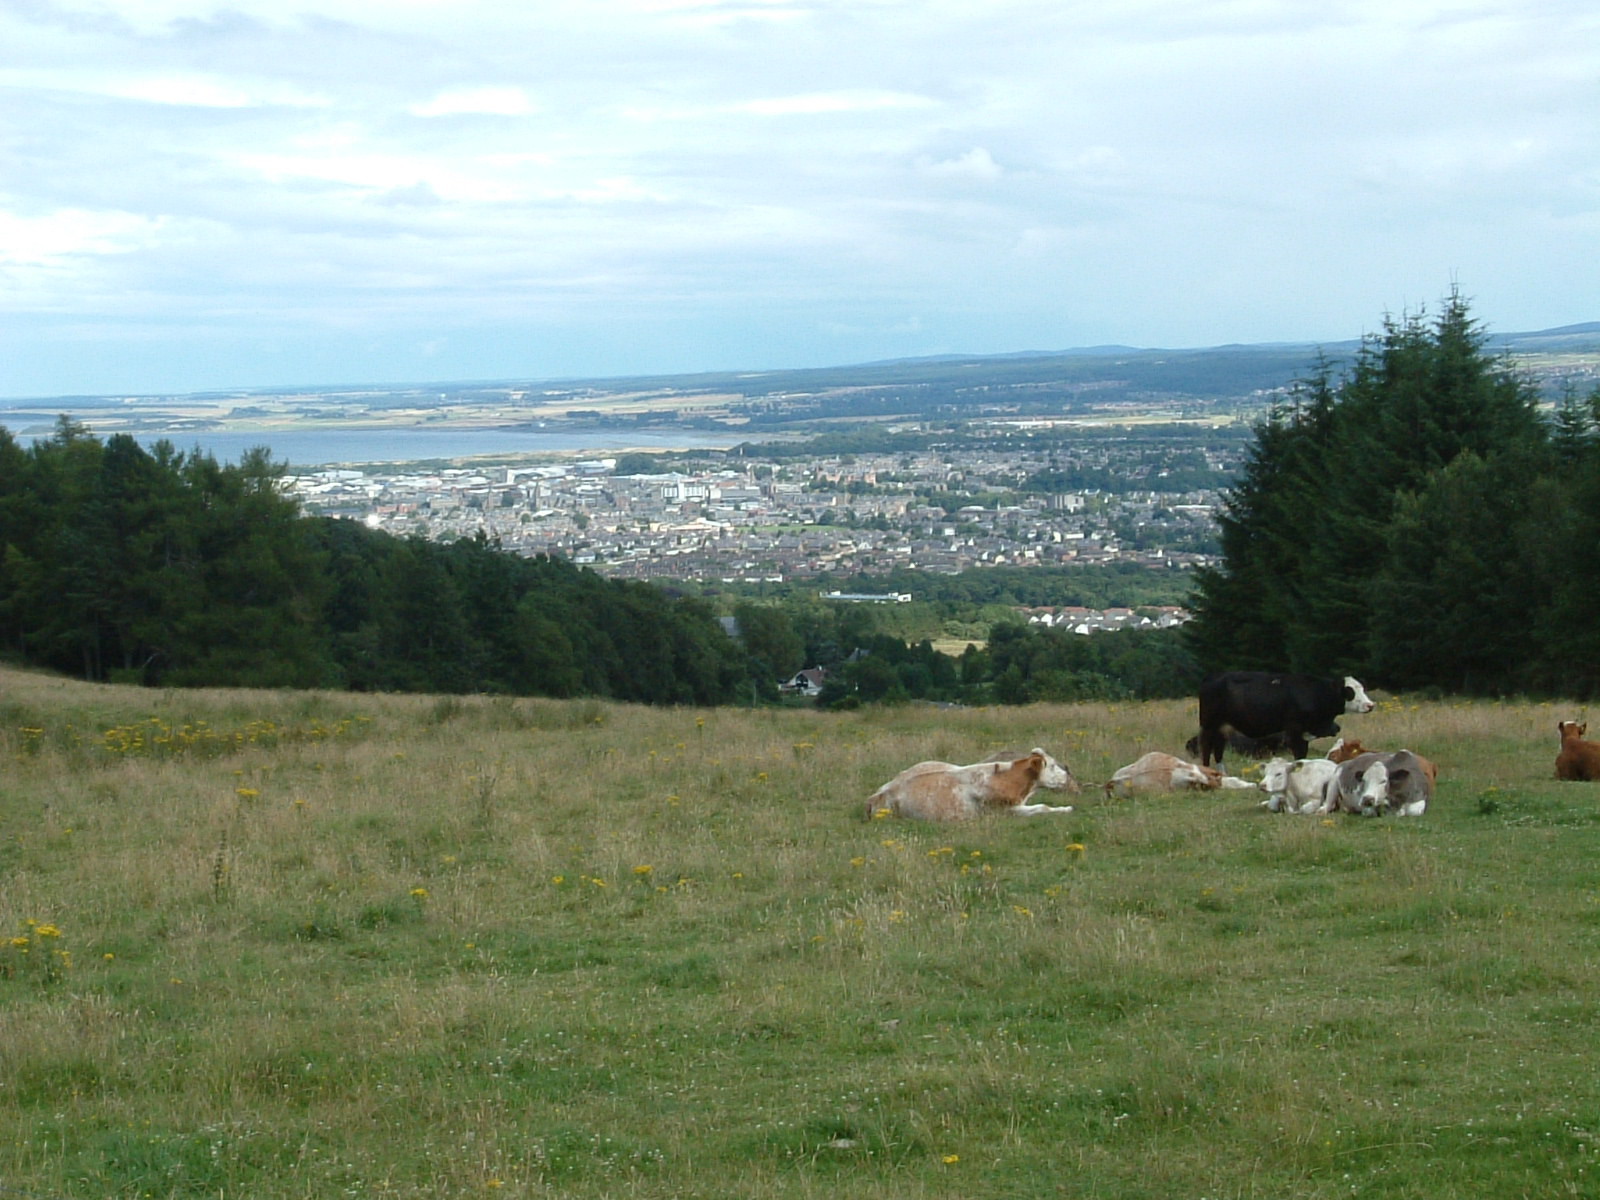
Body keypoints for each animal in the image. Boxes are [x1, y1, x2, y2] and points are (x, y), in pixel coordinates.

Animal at [1203, 672, 1376, 764]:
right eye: (1349, 692)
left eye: (1363, 689)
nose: (1370, 705)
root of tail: (1213, 681)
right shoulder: (1294, 731)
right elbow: (1299, 753)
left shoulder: (1305, 733)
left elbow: (1303, 753)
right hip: (1209, 725)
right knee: (1206, 749)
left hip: (1222, 728)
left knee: (1218, 751)